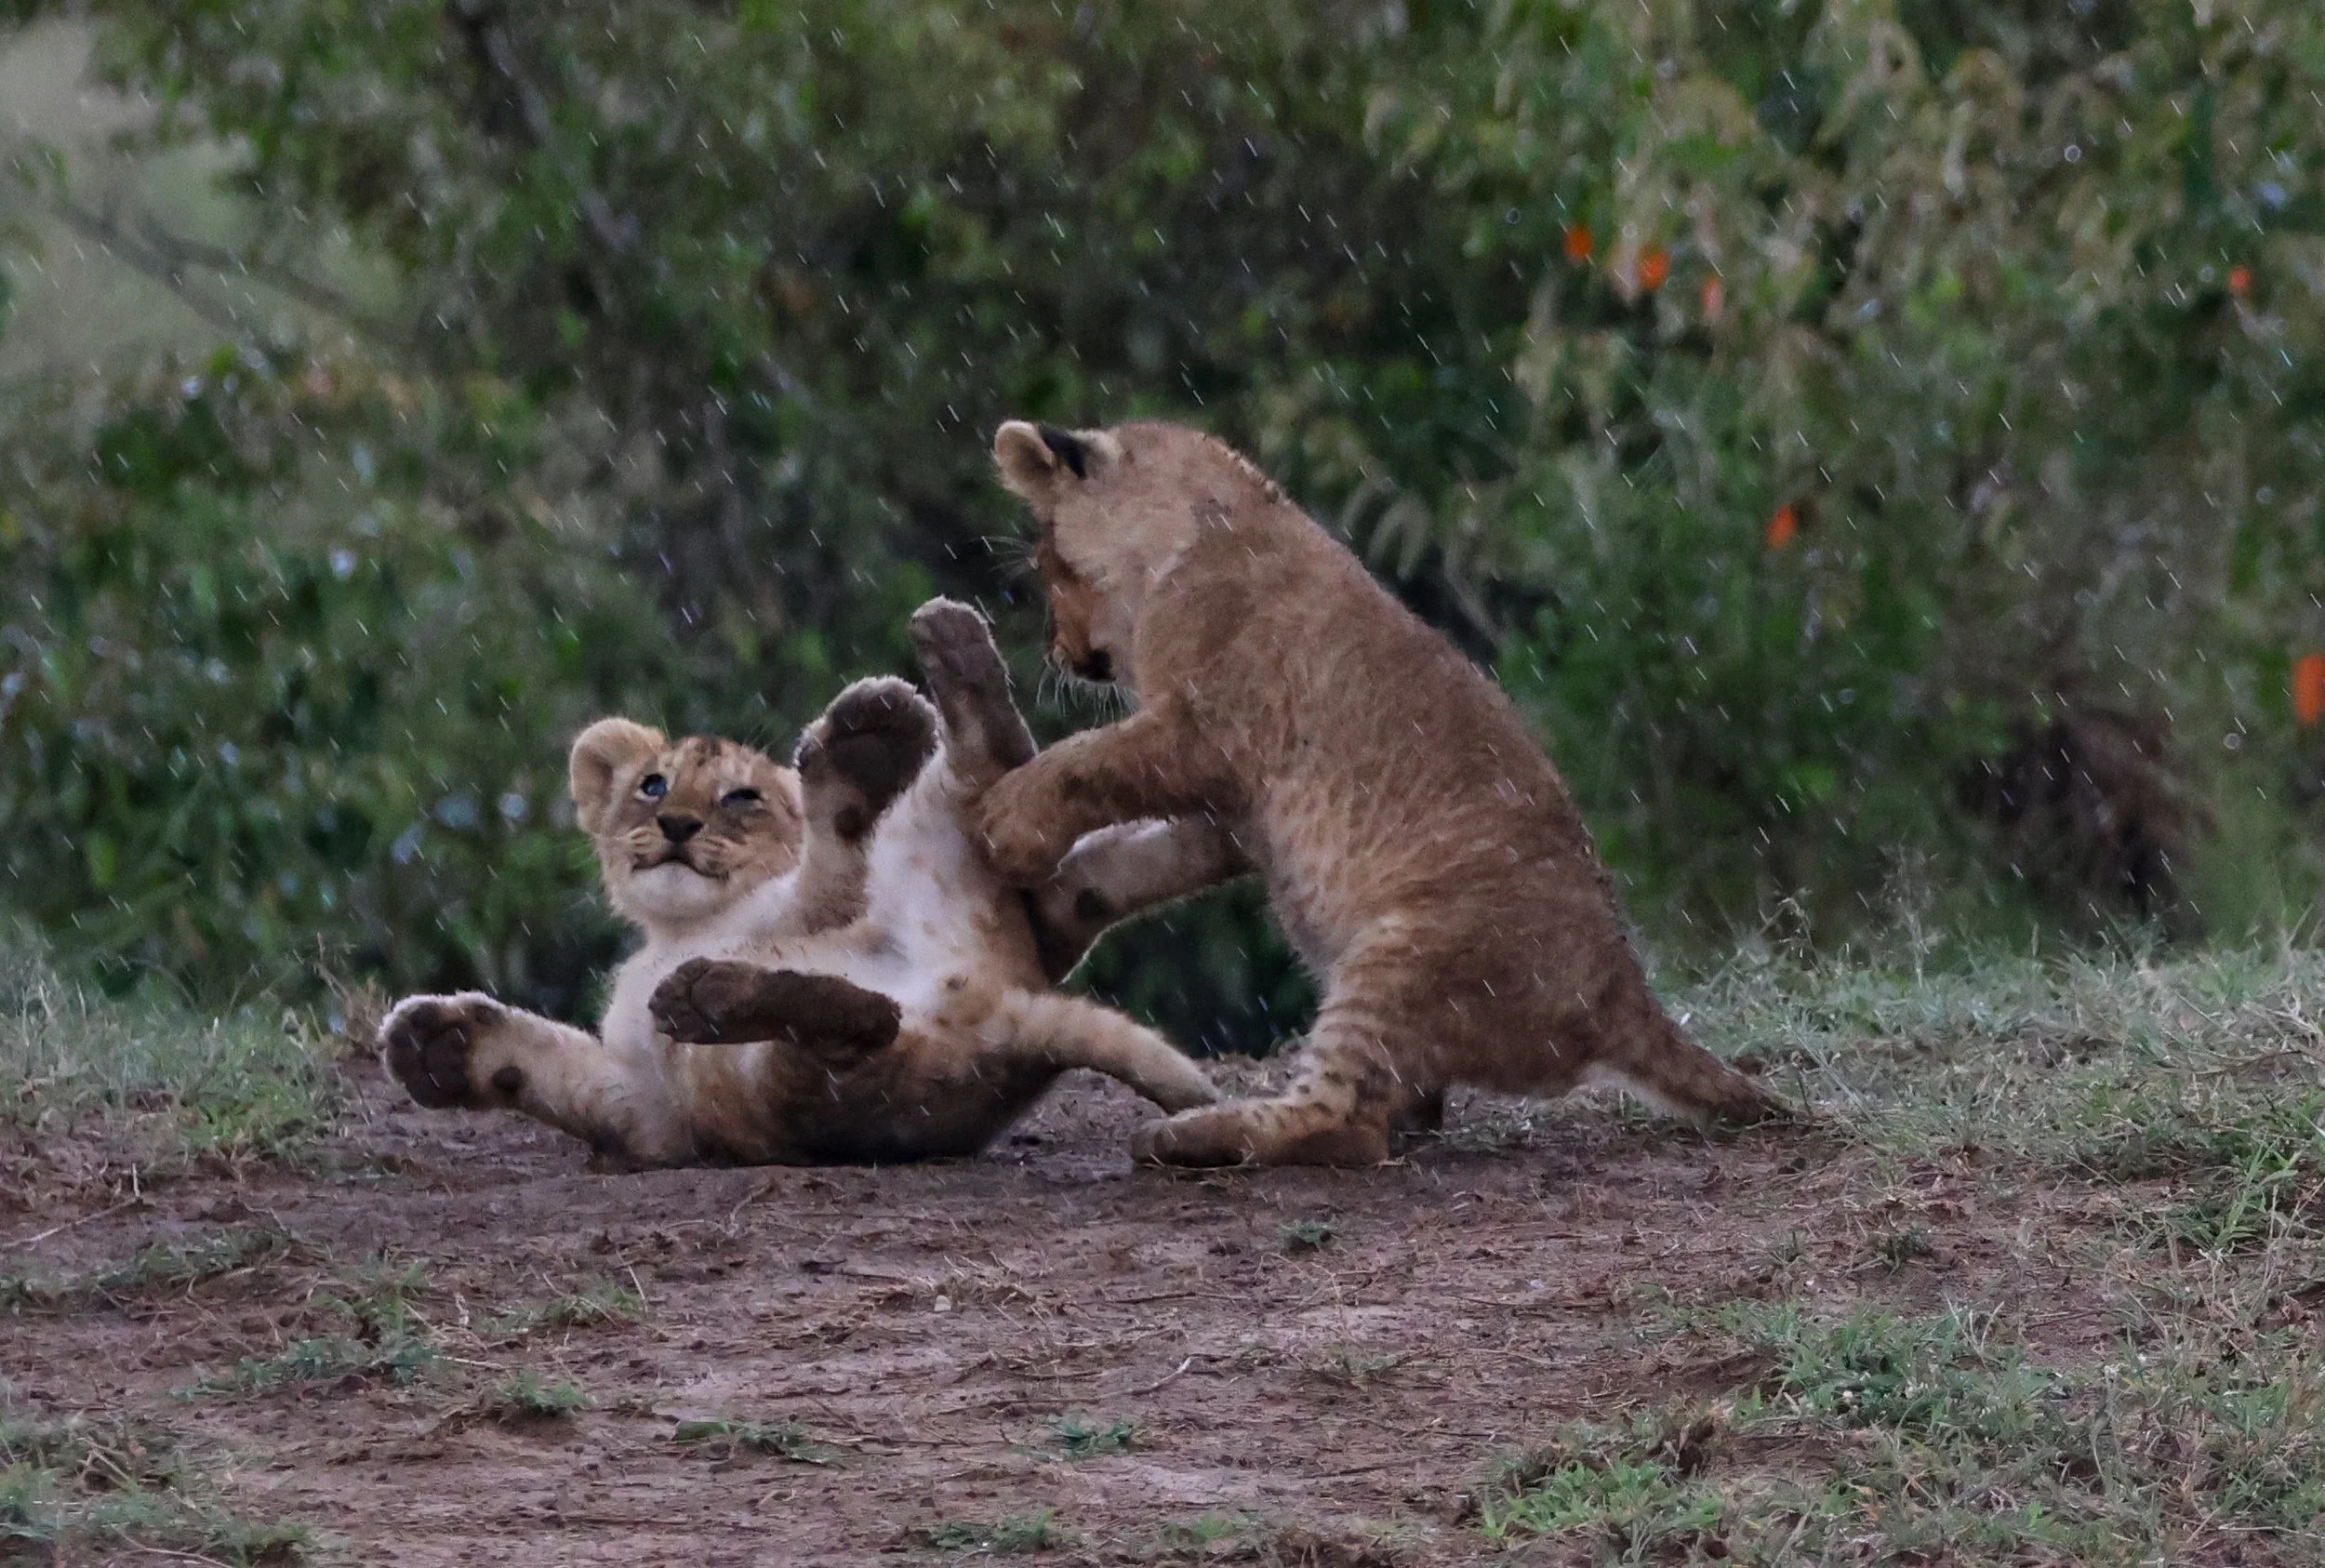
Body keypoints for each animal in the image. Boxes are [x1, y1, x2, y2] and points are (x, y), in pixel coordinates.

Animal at [380, 599, 1231, 1168]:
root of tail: (1003, 1008)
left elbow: (832, 860)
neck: (687, 928)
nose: (677, 826)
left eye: (741, 798)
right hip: (787, 1062)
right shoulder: (653, 1114)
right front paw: (442, 1045)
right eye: (653, 786)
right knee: (865, 1022)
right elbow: (552, 1072)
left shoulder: (830, 901)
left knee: (855, 1017)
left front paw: (861, 758)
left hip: (803, 1038)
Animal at [976, 419, 1788, 1167]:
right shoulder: (1236, 810)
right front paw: (1068, 885)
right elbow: (1147, 848)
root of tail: (1622, 992)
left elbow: (1087, 759)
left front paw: (1006, 823)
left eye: (1048, 566)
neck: (1195, 529)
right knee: (1402, 1112)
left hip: (1399, 958)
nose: (1056, 651)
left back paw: (1189, 1135)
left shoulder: (1204, 733)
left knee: (1347, 1124)